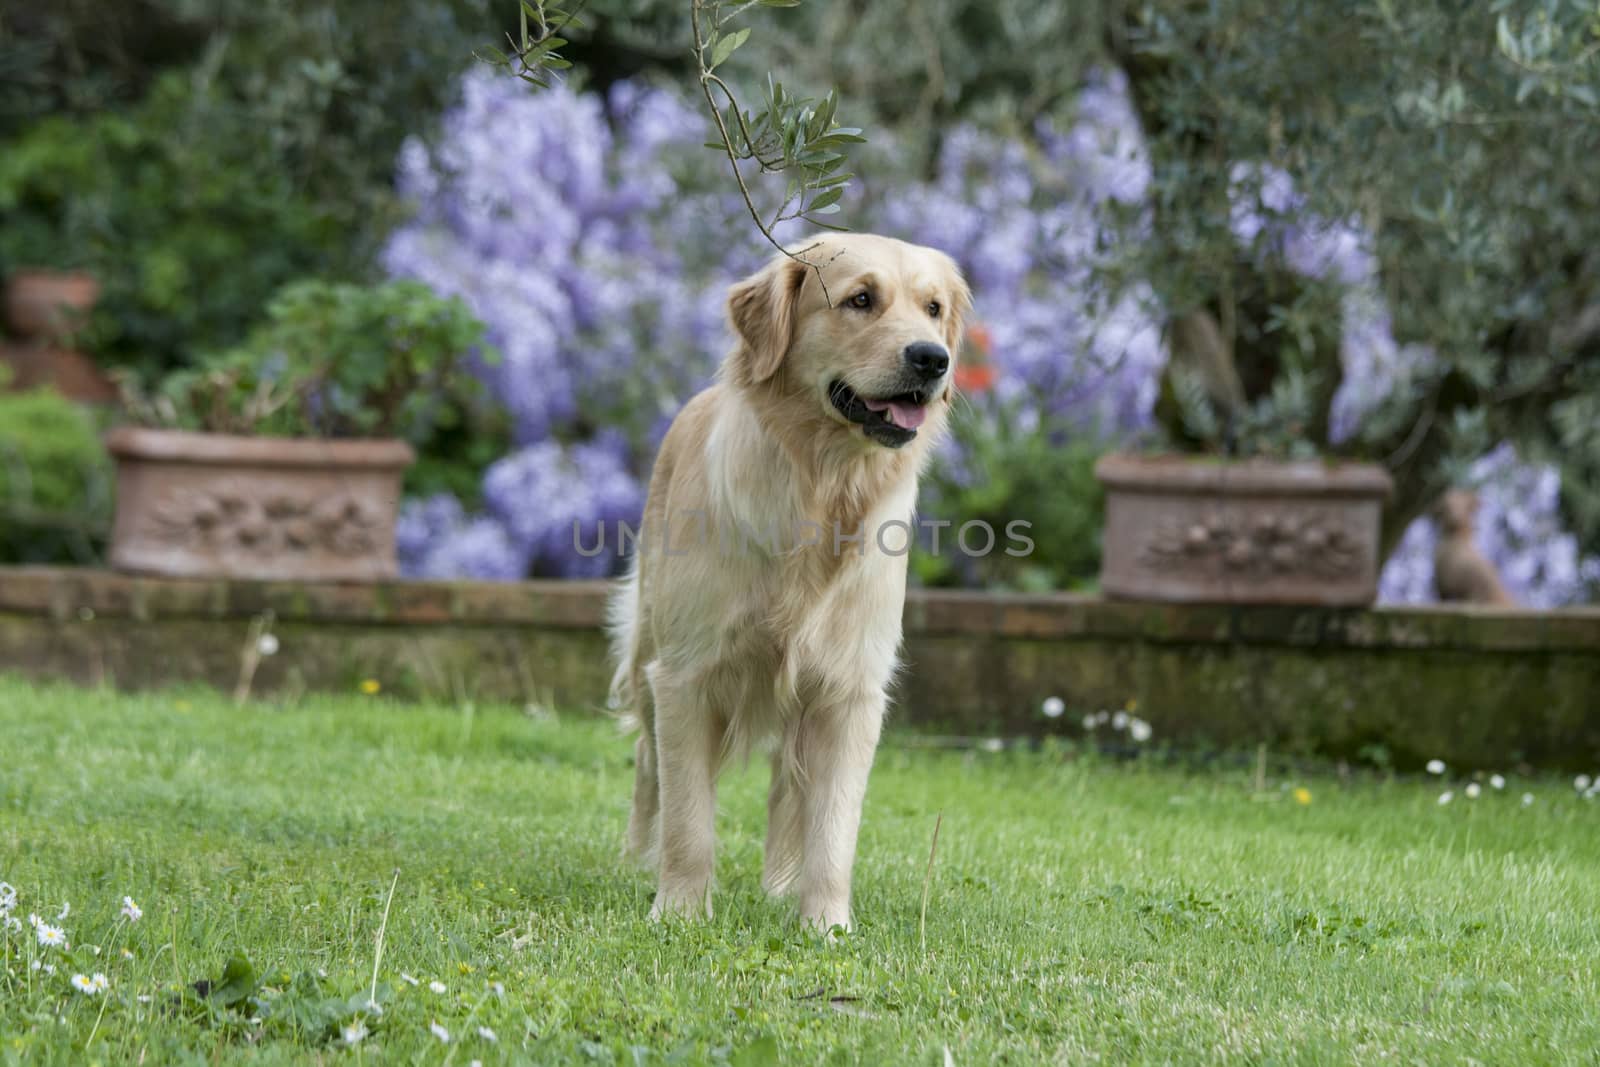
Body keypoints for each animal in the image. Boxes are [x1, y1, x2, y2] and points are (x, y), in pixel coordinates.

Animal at [604, 231, 966, 927]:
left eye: (933, 309)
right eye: (860, 300)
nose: (933, 359)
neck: (823, 488)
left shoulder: (850, 688)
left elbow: (834, 823)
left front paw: (825, 924)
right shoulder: (685, 674)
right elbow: (689, 818)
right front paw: (680, 910)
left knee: (787, 786)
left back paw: (779, 884)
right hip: (645, 650)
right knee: (646, 764)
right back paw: (636, 860)